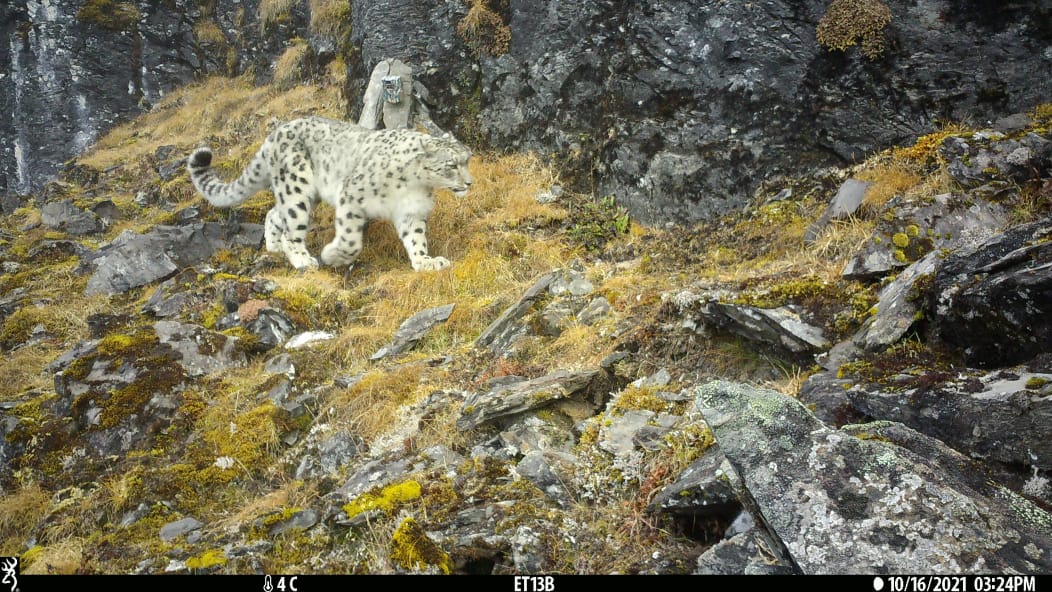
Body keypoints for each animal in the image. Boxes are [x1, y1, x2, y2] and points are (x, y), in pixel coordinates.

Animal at [187, 116, 472, 271]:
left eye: (467, 159)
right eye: (452, 165)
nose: (470, 183)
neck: (414, 185)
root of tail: (275, 134)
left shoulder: (411, 211)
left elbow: (415, 238)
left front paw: (425, 261)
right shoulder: (352, 197)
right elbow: (350, 241)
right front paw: (332, 256)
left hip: (303, 194)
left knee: (274, 214)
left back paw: (274, 245)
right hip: (297, 186)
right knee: (292, 226)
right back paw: (302, 258)